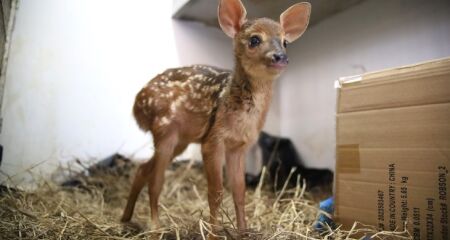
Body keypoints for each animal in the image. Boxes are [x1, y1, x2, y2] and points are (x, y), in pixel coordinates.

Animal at [121, 0, 312, 233]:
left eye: (286, 42)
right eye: (254, 39)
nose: (280, 57)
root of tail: (136, 105)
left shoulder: (239, 146)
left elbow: (239, 191)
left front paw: (243, 231)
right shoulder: (213, 141)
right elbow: (216, 192)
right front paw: (214, 233)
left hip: (180, 140)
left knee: (143, 169)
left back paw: (126, 218)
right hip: (165, 129)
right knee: (156, 181)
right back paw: (156, 226)